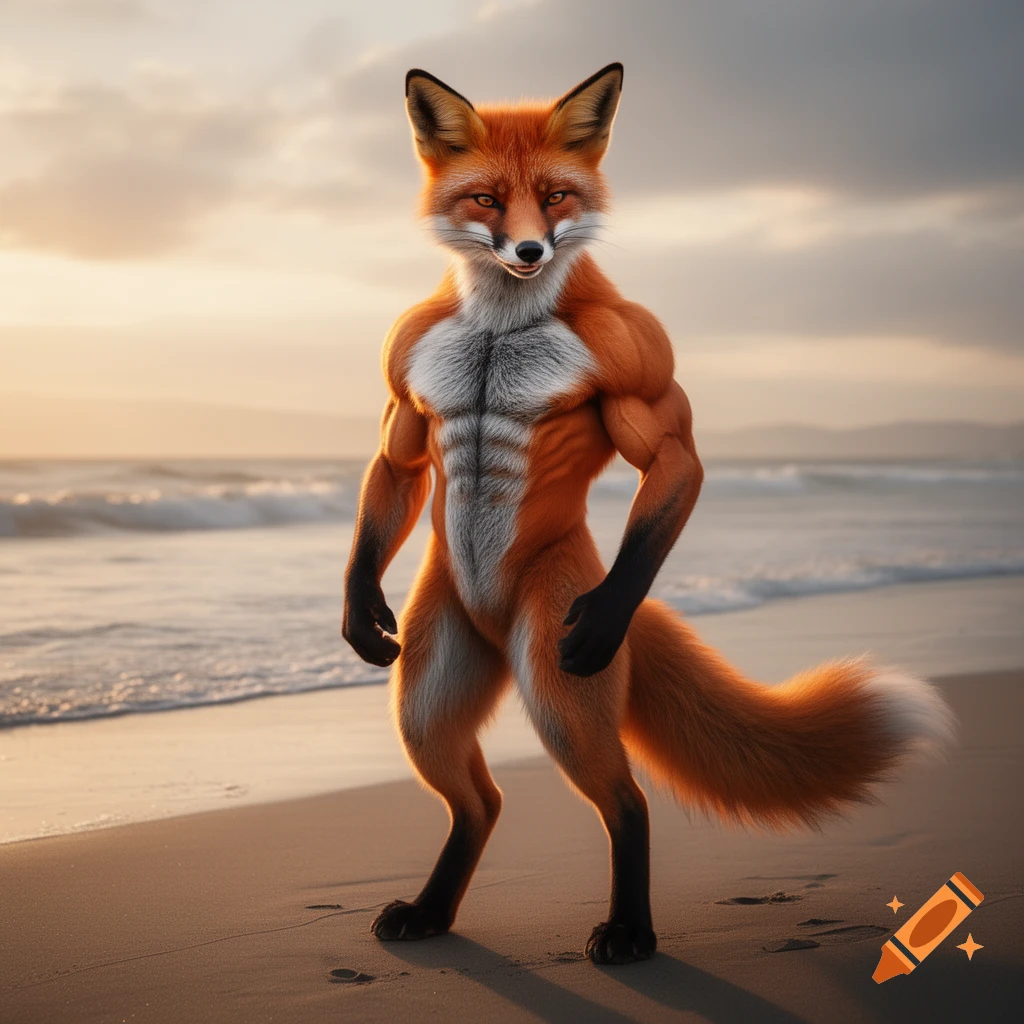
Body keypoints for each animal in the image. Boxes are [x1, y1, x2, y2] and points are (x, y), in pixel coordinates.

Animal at [341, 63, 955, 965]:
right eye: (486, 200)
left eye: (555, 196)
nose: (530, 251)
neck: (498, 326)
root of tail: (495, 629)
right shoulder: (403, 375)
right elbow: (398, 460)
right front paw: (358, 609)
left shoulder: (638, 358)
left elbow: (671, 453)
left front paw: (601, 622)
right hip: (426, 700)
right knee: (480, 803)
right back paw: (433, 909)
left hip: (557, 695)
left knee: (625, 803)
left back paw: (630, 928)